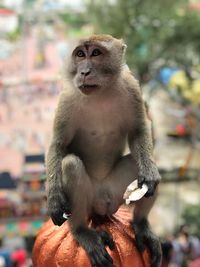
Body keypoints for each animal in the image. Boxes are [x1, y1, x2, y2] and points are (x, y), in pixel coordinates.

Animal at [46, 34, 162, 266]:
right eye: (80, 54)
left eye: (96, 53)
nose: (84, 72)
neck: (100, 93)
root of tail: (101, 207)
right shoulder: (67, 97)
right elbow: (59, 145)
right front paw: (54, 199)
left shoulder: (131, 86)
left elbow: (138, 131)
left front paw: (150, 174)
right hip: (89, 202)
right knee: (71, 164)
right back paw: (82, 231)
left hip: (116, 193)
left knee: (143, 170)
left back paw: (141, 224)